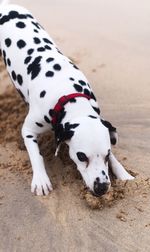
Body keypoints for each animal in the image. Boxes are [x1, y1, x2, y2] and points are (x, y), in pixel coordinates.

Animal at [0, 0, 134, 197]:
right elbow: (36, 155)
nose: (101, 188)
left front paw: (123, 173)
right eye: (81, 156)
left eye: (107, 154)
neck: (68, 95)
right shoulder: (28, 130)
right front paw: (41, 180)